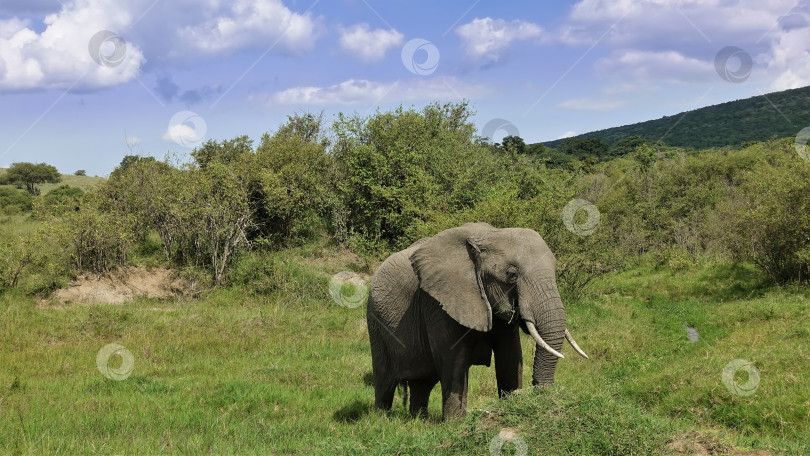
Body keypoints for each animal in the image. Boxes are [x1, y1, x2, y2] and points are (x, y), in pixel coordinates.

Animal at [366, 222, 588, 420]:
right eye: (511, 275)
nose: (540, 391)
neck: (488, 235)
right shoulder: (437, 302)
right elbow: (453, 360)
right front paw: (455, 425)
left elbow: (511, 355)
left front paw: (511, 402)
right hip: (375, 321)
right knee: (385, 379)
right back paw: (381, 419)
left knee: (422, 383)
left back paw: (418, 420)